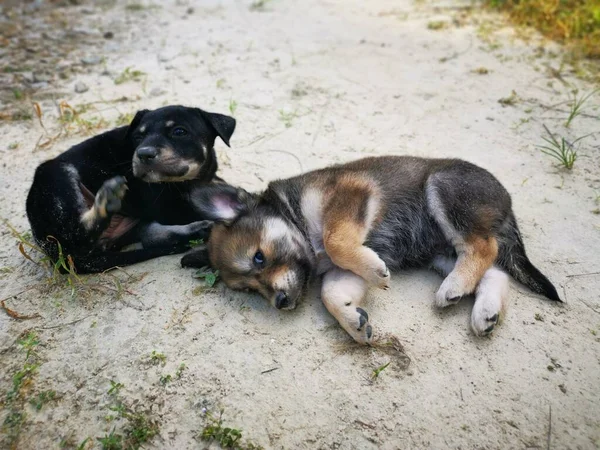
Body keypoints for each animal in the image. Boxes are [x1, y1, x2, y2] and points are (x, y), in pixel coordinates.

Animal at [26, 105, 237, 274]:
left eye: (179, 132)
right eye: (138, 136)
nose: (143, 154)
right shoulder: (168, 207)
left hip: (132, 224)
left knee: (153, 237)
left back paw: (200, 230)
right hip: (57, 180)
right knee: (80, 233)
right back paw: (106, 200)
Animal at [180, 156, 560, 344]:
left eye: (260, 257)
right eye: (249, 290)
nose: (281, 303)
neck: (294, 217)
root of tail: (507, 202)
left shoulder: (349, 197)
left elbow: (336, 241)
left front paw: (375, 273)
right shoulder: (339, 271)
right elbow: (332, 295)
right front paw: (353, 322)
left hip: (445, 190)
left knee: (484, 246)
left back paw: (454, 287)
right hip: (440, 252)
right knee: (494, 270)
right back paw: (484, 311)